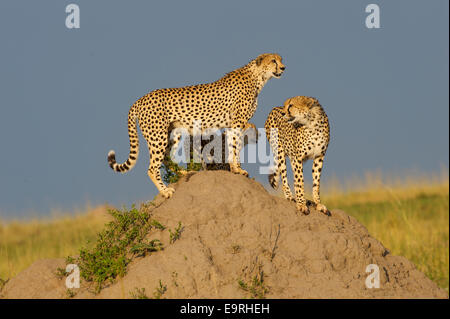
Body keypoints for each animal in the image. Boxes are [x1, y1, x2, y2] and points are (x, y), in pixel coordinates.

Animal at [107, 53, 284, 198]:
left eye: (281, 59)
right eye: (273, 60)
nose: (283, 67)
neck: (258, 76)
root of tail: (140, 99)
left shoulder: (231, 125)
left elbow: (230, 146)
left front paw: (235, 168)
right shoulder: (237, 123)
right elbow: (234, 147)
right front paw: (238, 169)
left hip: (173, 133)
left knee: (166, 158)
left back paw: (183, 173)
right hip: (157, 137)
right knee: (152, 167)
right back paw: (165, 191)